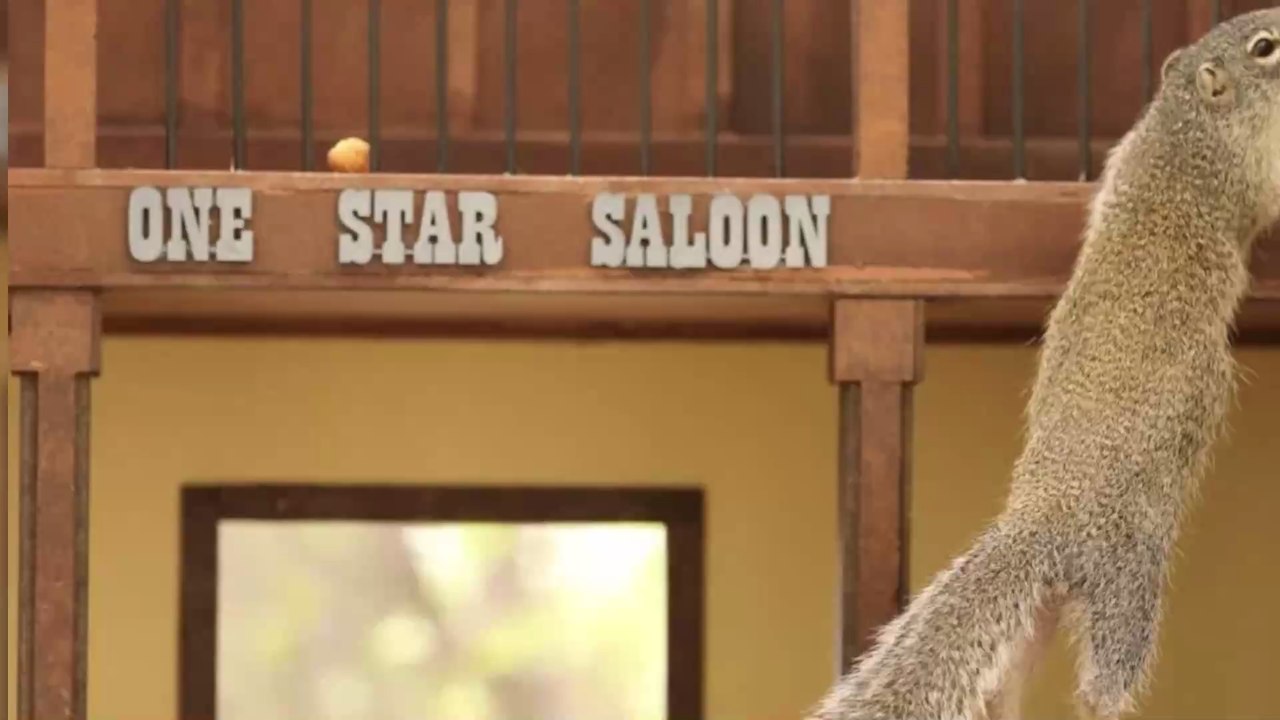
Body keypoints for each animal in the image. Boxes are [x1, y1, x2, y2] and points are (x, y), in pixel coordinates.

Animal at [808, 9, 1280, 720]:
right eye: (1265, 47)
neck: (1182, 128)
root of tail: (1043, 522)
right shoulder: (1249, 164)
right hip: (1127, 583)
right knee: (1104, 682)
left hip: (1034, 626)